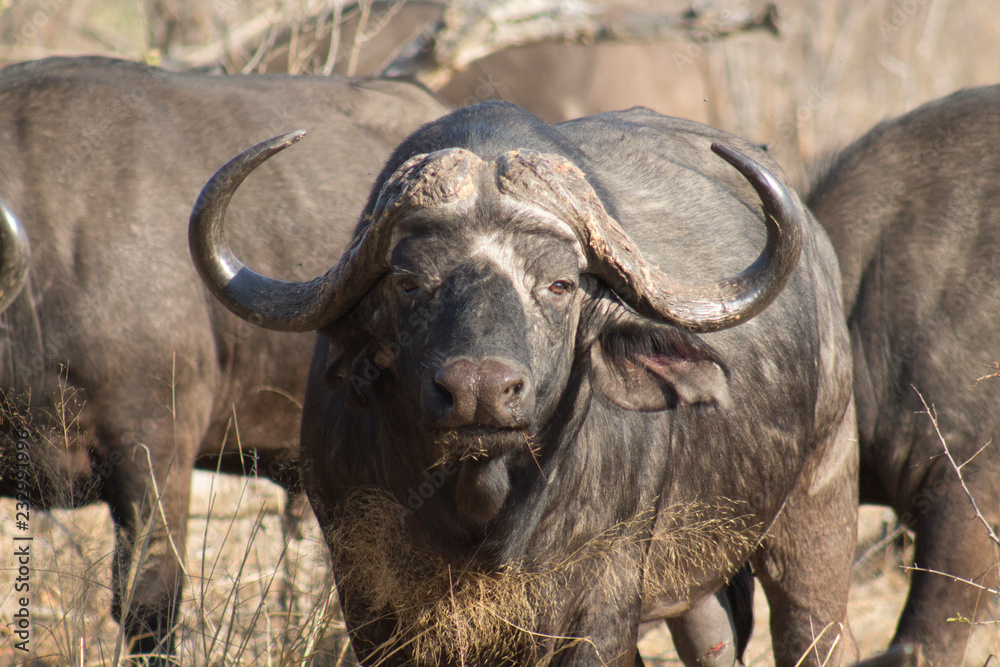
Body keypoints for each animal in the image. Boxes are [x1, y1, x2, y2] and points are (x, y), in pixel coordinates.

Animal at [191, 101, 859, 666]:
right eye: (408, 282)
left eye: (559, 284)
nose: (478, 390)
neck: (484, 514)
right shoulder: (369, 599)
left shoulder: (599, 608)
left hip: (819, 508)